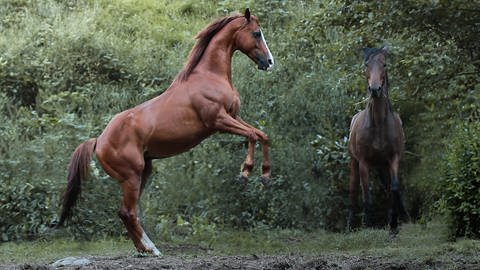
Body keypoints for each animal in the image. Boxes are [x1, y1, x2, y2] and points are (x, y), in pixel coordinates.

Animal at [57, 8, 274, 255]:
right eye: (256, 33)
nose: (269, 62)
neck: (209, 76)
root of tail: (99, 140)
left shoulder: (234, 117)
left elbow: (263, 135)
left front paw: (265, 176)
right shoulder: (219, 121)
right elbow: (252, 135)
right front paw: (245, 173)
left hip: (143, 172)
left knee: (126, 213)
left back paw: (147, 249)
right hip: (131, 177)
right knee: (127, 212)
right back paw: (151, 250)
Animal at [346, 46, 406, 234]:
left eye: (384, 64)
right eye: (366, 65)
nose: (375, 89)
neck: (379, 124)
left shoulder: (393, 158)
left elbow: (394, 188)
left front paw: (393, 225)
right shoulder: (364, 162)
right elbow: (366, 195)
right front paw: (367, 225)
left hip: (382, 165)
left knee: (388, 188)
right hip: (354, 163)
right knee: (353, 192)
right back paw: (349, 227)